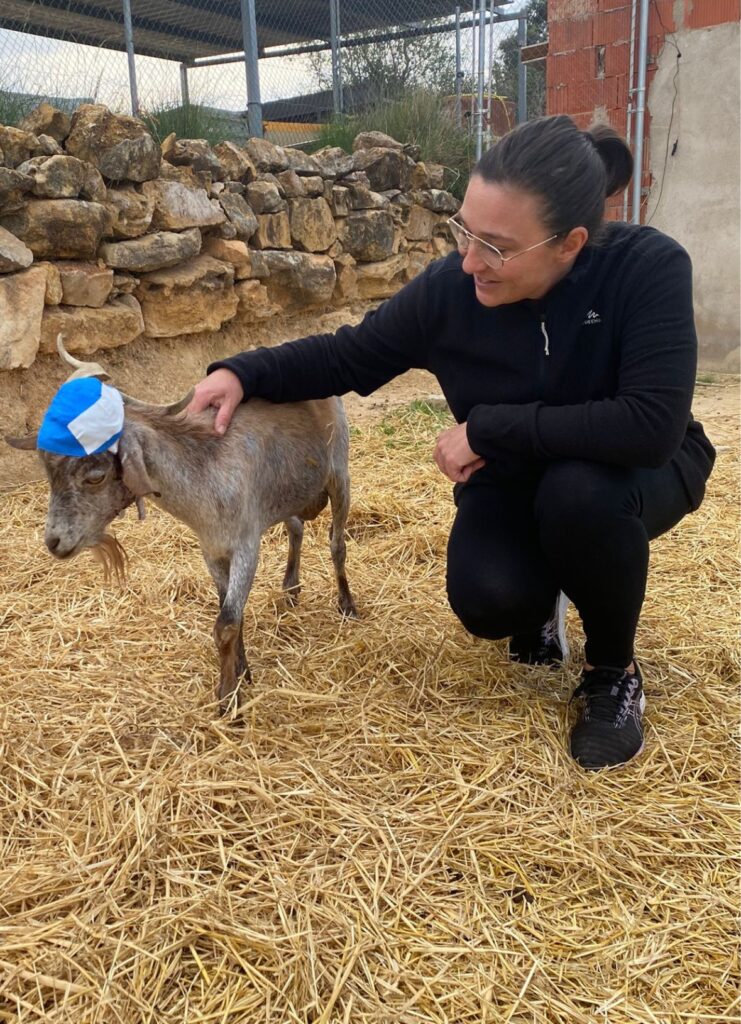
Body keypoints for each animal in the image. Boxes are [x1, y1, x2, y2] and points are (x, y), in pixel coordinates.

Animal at [7, 338, 357, 714]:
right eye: (48, 471)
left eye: (96, 476)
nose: (54, 542)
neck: (205, 471)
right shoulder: (212, 550)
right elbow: (230, 611)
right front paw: (242, 672)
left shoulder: (246, 546)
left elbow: (226, 623)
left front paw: (228, 701)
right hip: (288, 494)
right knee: (296, 527)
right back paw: (290, 588)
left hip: (339, 473)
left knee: (337, 544)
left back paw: (347, 605)